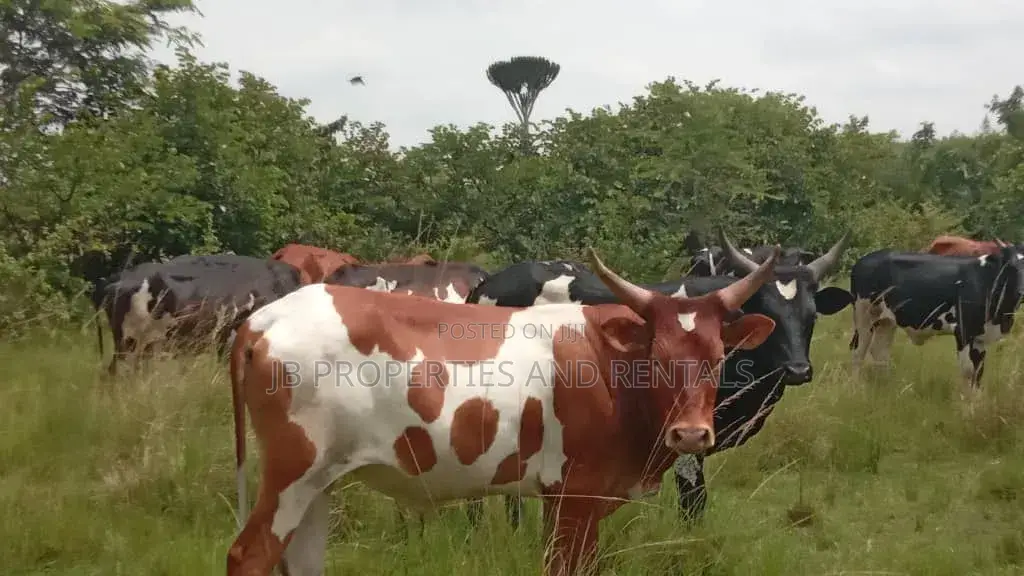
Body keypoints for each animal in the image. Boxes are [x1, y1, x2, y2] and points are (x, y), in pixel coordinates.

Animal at [849, 244, 1024, 394]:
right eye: (1011, 267)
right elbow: (968, 370)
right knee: (858, 352)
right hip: (864, 314)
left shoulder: (981, 337)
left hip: (886, 321)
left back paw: (886, 386)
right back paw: (856, 387)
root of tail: (864, 259)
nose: (1022, 292)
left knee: (880, 352)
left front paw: (975, 401)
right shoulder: (963, 330)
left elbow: (978, 372)